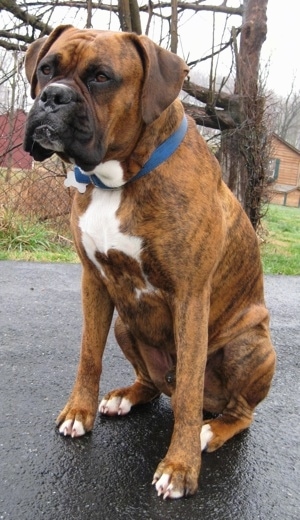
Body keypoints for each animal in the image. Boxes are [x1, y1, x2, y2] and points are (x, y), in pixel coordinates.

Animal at [24, 25, 276, 500]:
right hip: (128, 322)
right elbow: (89, 354)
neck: (117, 179)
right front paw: (79, 412)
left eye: (101, 77)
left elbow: (192, 388)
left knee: (233, 411)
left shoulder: (191, 298)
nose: (52, 96)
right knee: (154, 386)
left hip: (248, 344)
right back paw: (126, 396)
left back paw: (211, 431)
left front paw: (180, 468)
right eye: (46, 68)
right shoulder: (94, 281)